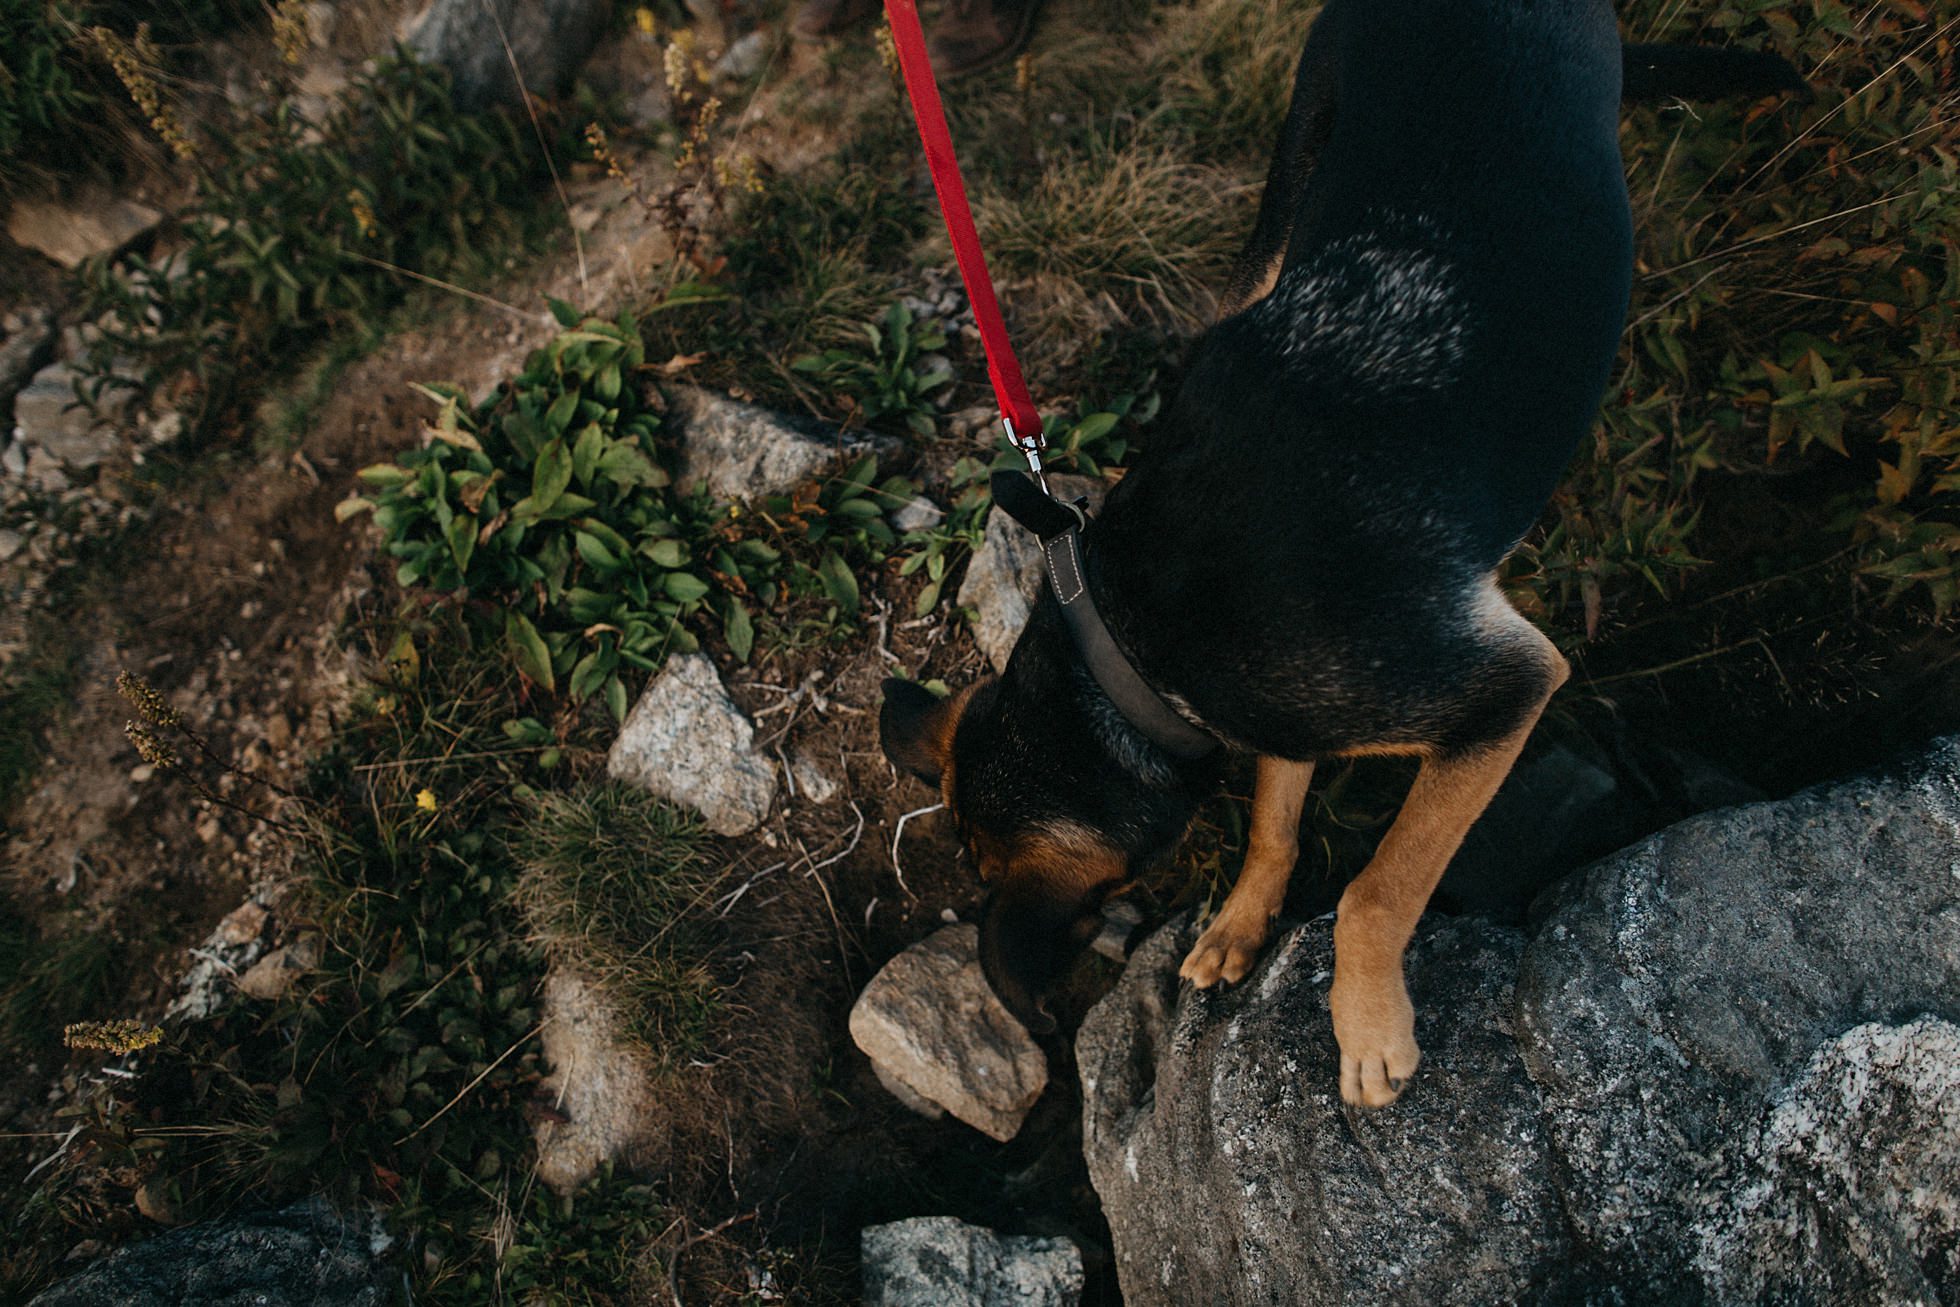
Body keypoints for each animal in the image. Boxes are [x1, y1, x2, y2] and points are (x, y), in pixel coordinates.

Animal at [882, 0, 1795, 1113]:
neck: (1124, 636)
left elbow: (1378, 886)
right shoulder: (1287, 706)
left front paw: (1365, 1024)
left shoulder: (1502, 688)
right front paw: (1241, 920)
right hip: (1291, 190)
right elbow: (1277, 811)